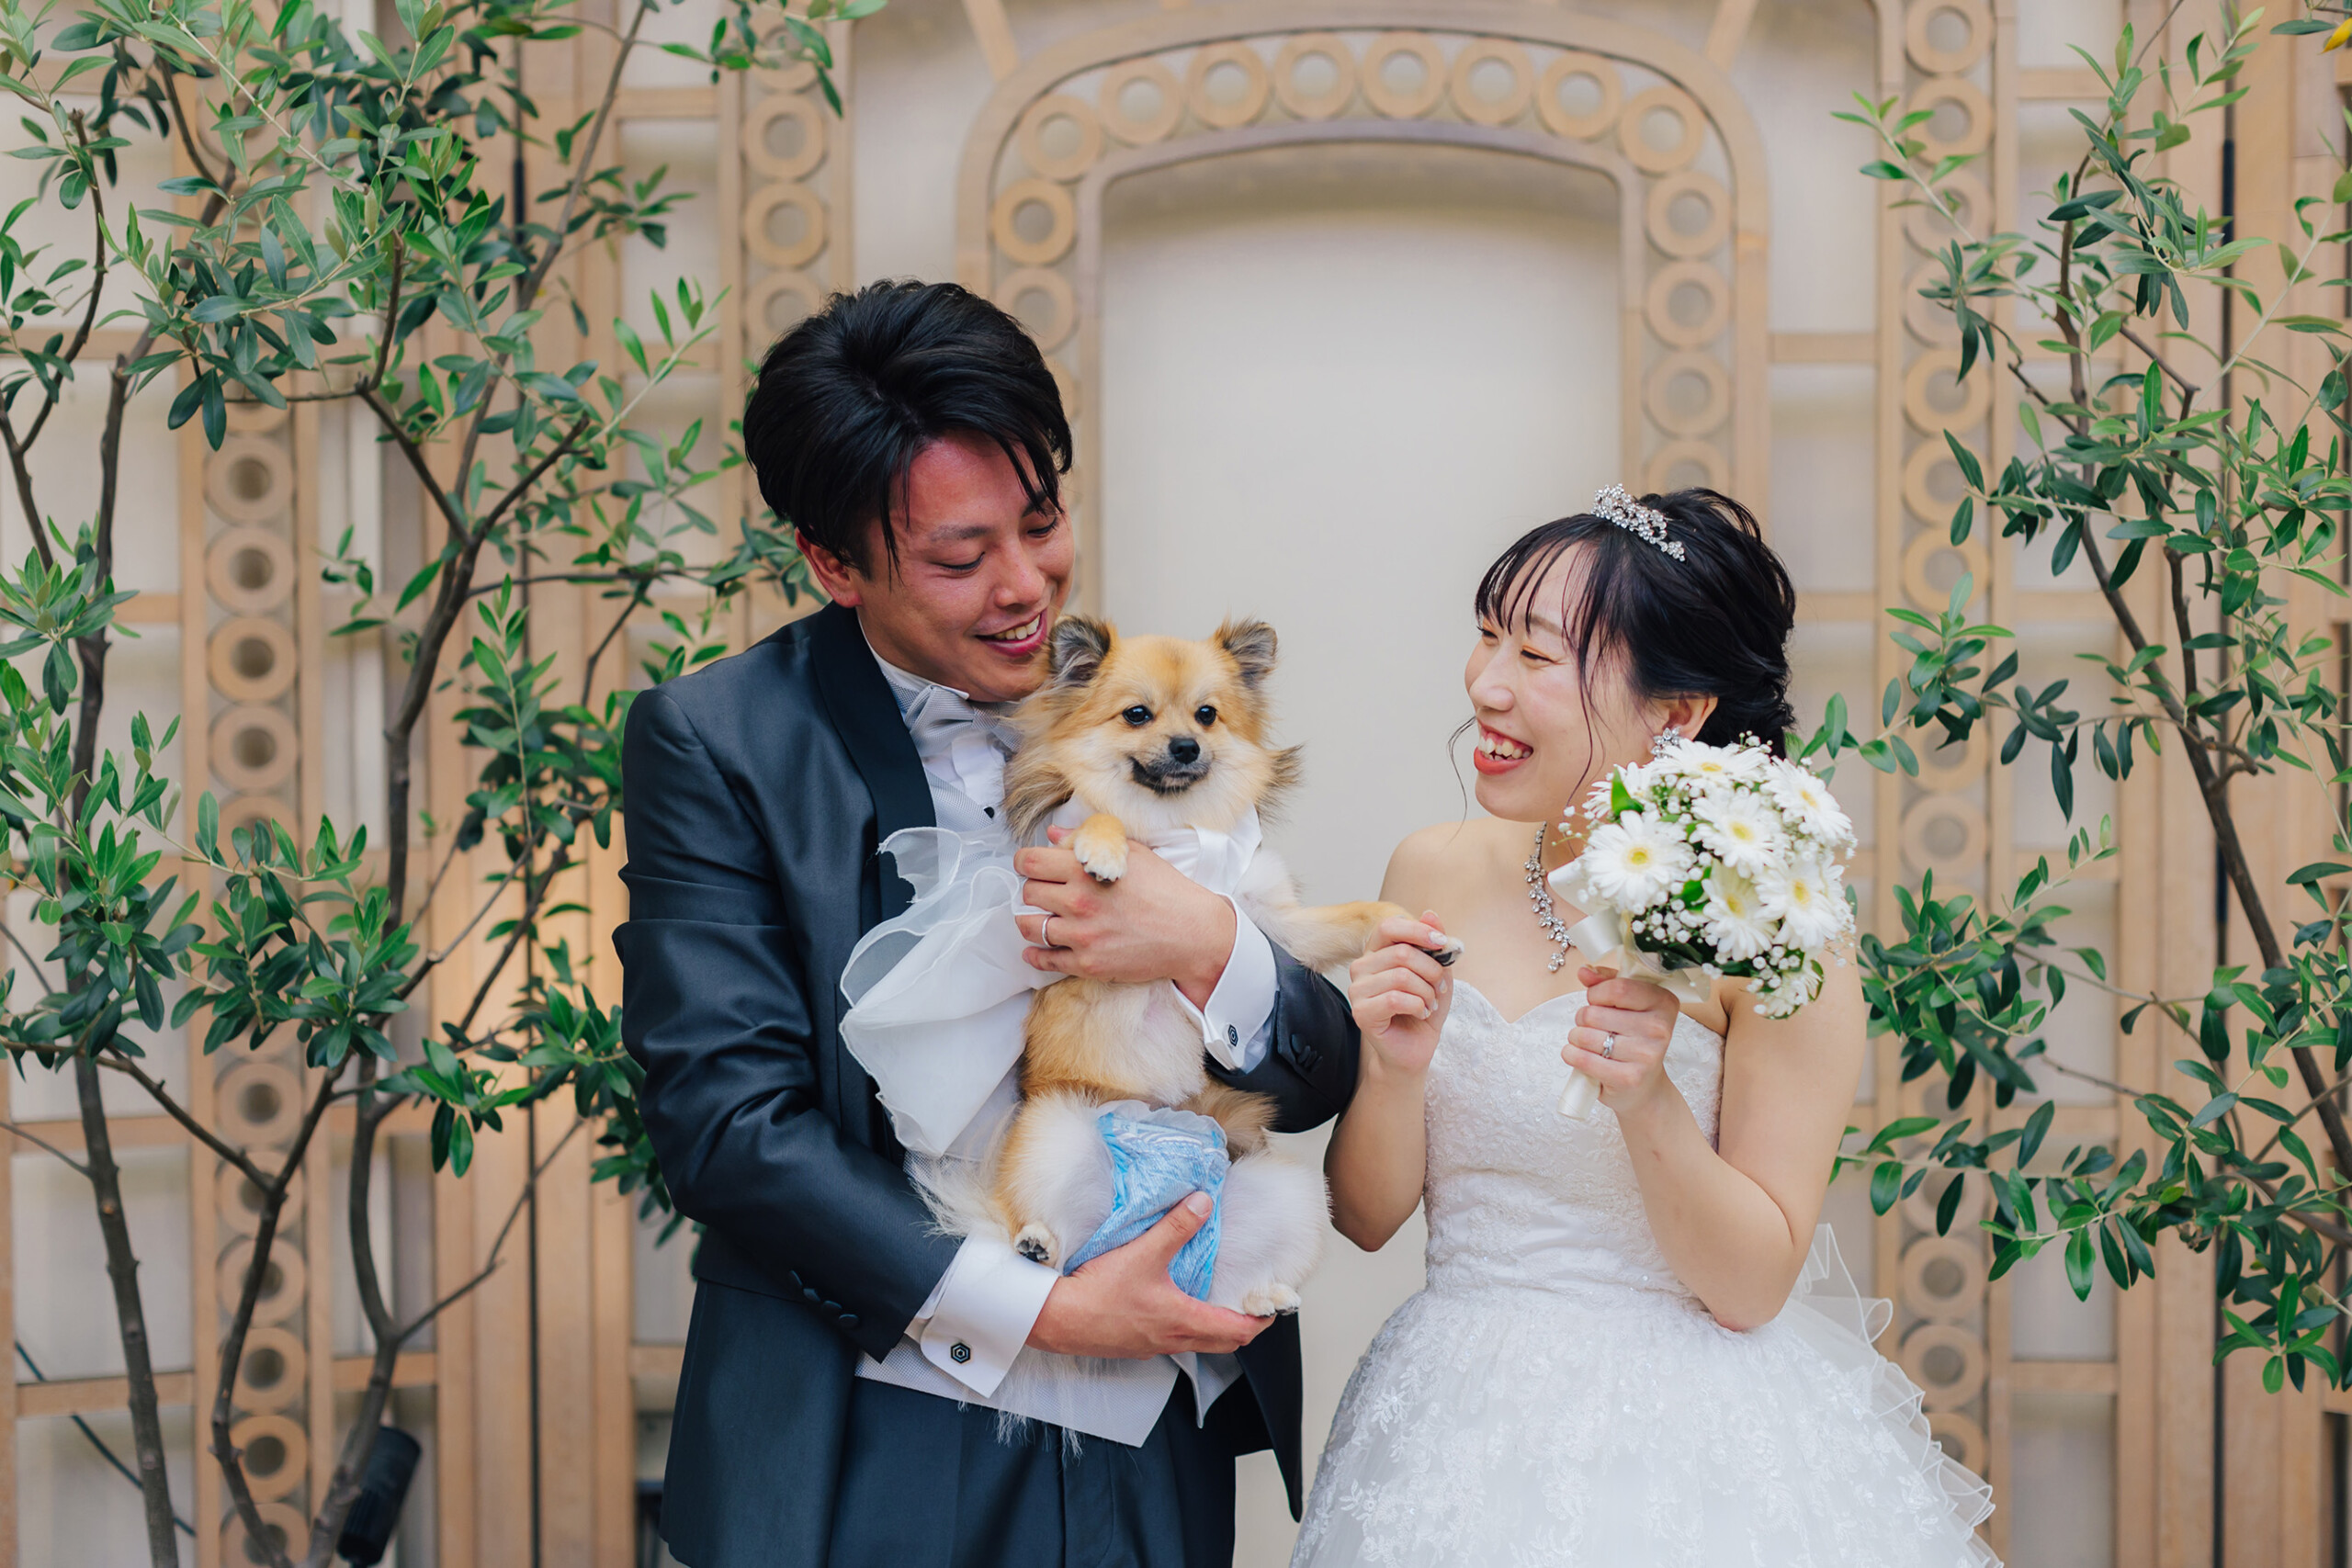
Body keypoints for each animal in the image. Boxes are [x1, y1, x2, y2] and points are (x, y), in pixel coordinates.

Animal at [984, 614, 1406, 1316]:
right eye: (1137, 715)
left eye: (1208, 715)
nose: (1185, 746)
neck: (1180, 827)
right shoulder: (1041, 914)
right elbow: (1102, 817)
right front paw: (1105, 848)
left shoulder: (1272, 924)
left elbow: (1346, 919)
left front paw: (1407, 928)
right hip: (1051, 1130)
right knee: (1057, 1244)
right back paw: (1038, 1241)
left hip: (1290, 1194)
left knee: (1224, 1283)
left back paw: (1263, 1297)